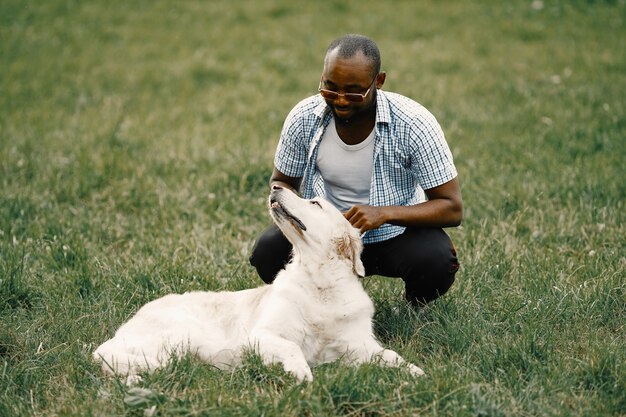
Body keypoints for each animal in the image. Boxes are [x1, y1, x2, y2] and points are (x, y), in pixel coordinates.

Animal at [92, 185, 424, 380]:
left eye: (315, 203)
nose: (276, 186)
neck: (320, 285)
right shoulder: (263, 335)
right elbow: (292, 349)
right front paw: (302, 374)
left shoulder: (359, 345)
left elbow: (391, 356)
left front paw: (416, 372)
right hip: (179, 336)